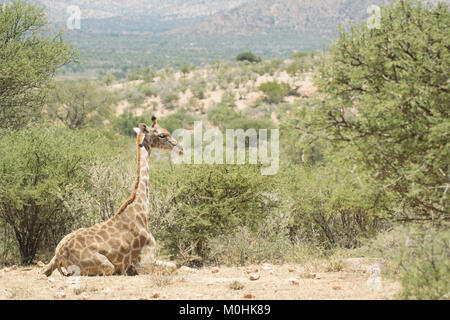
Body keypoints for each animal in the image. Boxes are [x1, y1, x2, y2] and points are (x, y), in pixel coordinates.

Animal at [41, 116, 183, 276]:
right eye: (162, 135)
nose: (180, 149)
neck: (141, 210)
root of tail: (60, 254)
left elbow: (175, 265)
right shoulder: (144, 264)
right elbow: (175, 266)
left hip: (59, 248)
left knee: (43, 270)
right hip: (107, 266)